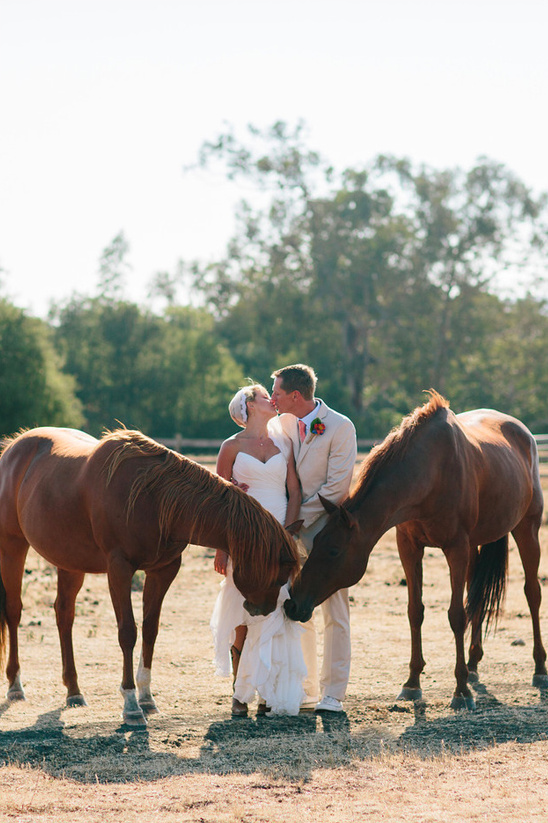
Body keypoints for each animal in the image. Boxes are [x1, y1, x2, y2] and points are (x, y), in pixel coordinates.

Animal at [0, 428, 300, 724]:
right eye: (279, 573)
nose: (264, 609)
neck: (152, 497)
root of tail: (13, 448)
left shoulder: (163, 570)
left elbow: (150, 630)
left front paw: (146, 698)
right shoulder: (119, 569)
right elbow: (128, 632)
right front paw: (131, 704)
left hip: (69, 562)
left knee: (64, 614)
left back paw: (74, 691)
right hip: (13, 546)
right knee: (14, 611)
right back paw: (15, 686)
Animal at [284, 392, 548, 708]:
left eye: (334, 550)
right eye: (316, 541)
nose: (293, 603)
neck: (432, 473)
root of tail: (524, 434)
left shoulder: (456, 548)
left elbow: (456, 615)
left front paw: (461, 691)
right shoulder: (409, 548)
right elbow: (415, 611)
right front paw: (412, 682)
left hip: (526, 530)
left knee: (532, 594)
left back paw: (539, 668)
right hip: (476, 545)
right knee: (476, 597)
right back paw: (473, 664)